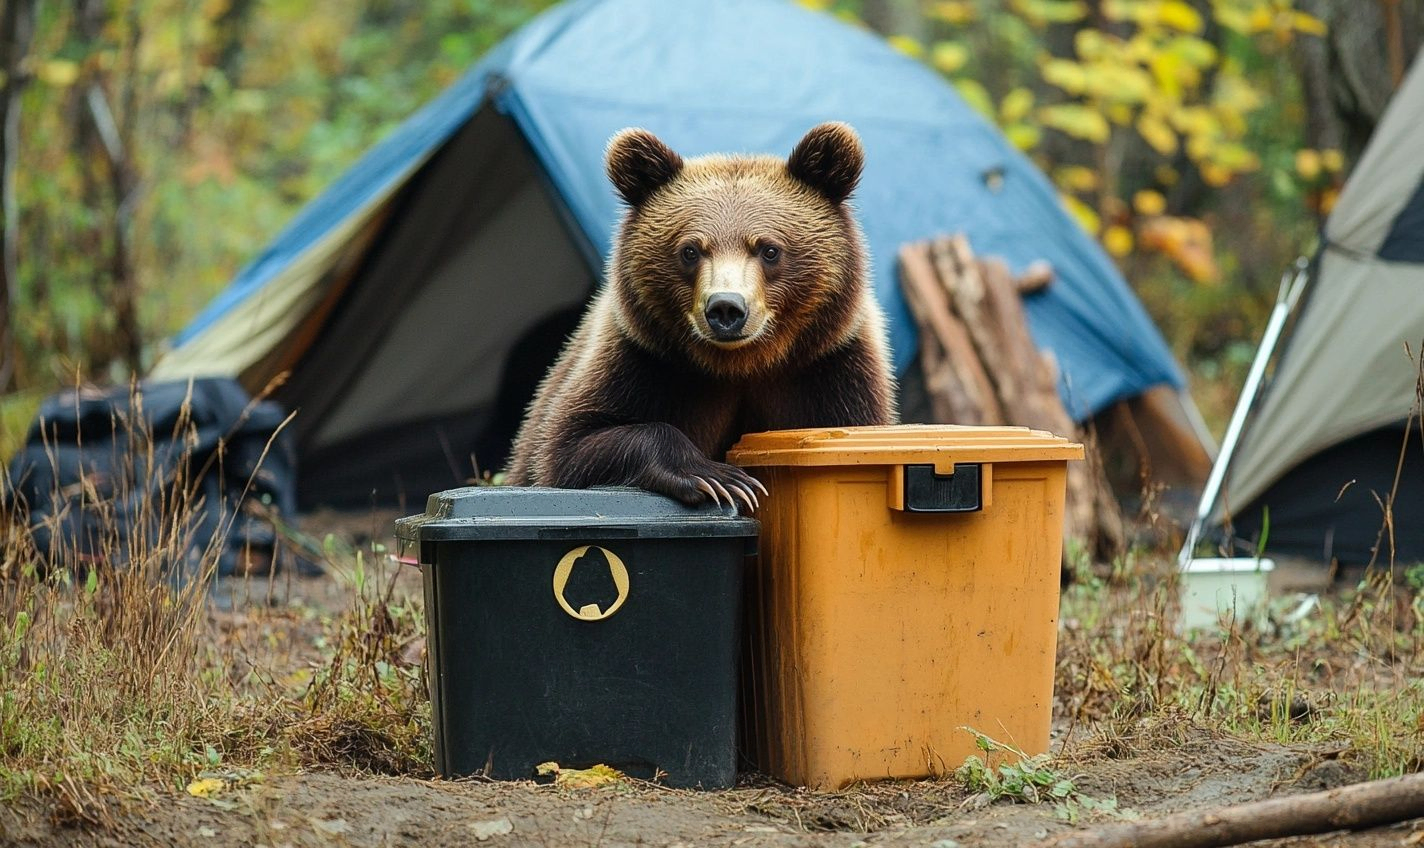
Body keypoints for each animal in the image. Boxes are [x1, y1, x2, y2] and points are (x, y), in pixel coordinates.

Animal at [506, 122, 894, 506]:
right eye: (690, 250)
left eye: (769, 249)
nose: (726, 307)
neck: (742, 365)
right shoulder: (643, 364)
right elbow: (569, 448)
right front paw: (717, 477)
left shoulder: (829, 372)